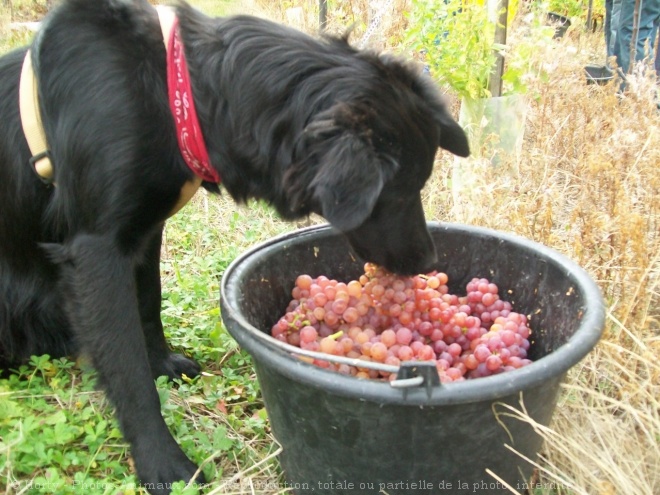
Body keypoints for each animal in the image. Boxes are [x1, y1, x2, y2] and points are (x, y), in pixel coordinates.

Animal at [0, 1, 470, 494]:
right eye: (399, 192)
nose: (429, 261)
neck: (175, 91)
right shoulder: (97, 249)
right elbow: (127, 368)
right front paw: (162, 462)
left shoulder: (144, 231)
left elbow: (148, 304)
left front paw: (161, 363)